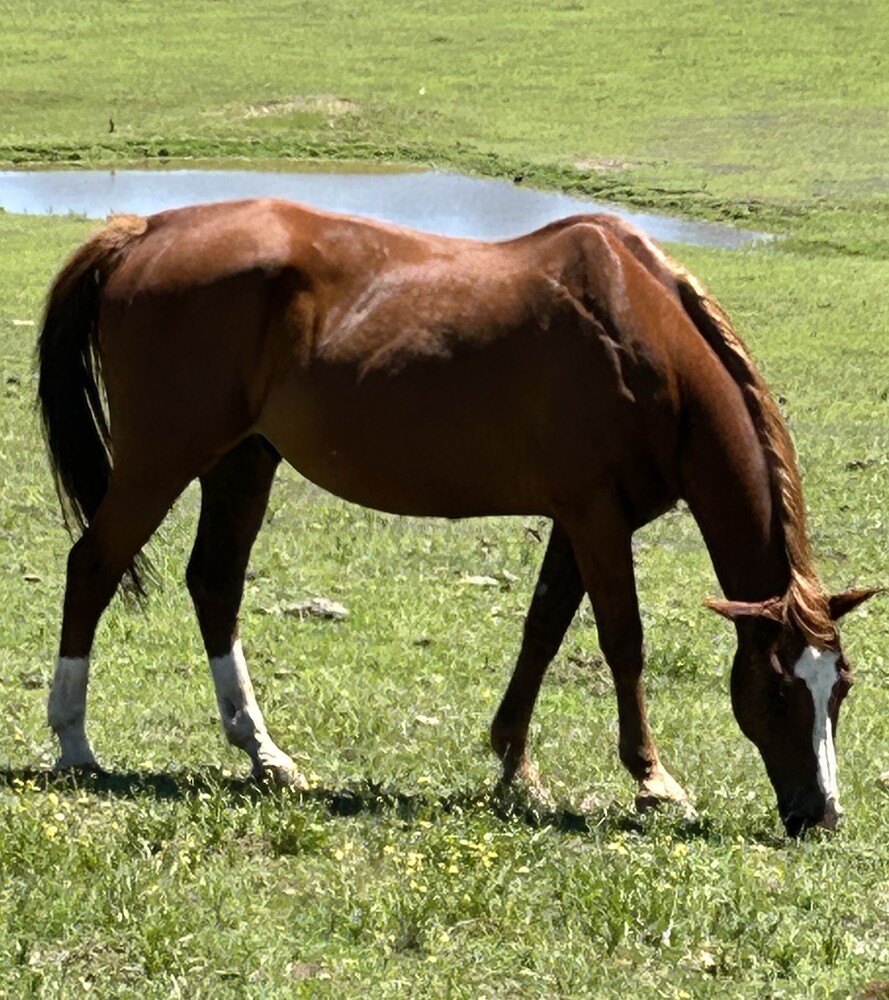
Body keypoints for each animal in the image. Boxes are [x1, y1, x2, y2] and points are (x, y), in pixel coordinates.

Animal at [36, 198, 874, 835]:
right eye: (776, 691)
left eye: (840, 687)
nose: (821, 816)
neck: (645, 333)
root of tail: (145, 229)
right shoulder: (596, 517)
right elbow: (622, 641)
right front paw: (652, 780)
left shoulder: (581, 519)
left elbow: (542, 631)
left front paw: (514, 765)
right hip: (163, 458)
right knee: (93, 566)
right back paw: (75, 744)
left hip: (241, 462)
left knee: (214, 585)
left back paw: (264, 755)